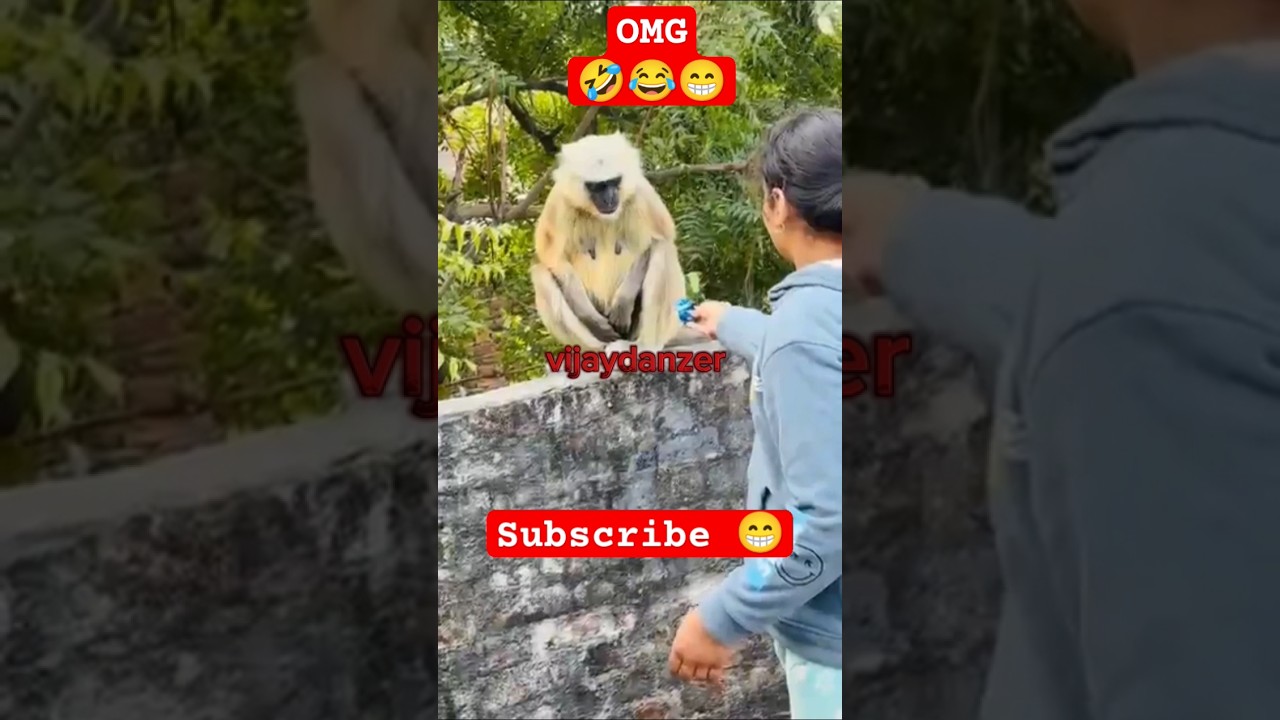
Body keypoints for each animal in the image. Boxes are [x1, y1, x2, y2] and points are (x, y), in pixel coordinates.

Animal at [532, 133, 701, 352]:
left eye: (614, 182)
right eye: (597, 186)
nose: (609, 197)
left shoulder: (641, 191)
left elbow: (659, 240)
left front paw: (623, 303)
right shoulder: (559, 199)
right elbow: (550, 256)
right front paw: (590, 317)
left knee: (663, 250)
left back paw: (645, 346)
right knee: (541, 273)